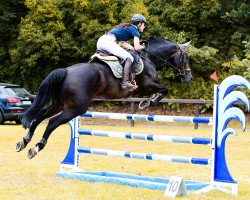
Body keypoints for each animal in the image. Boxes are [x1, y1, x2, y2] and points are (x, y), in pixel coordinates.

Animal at [15, 38, 192, 159]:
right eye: (186, 58)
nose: (189, 78)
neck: (148, 57)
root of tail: (66, 71)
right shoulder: (147, 84)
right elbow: (163, 90)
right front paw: (148, 102)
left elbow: (161, 90)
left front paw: (147, 101)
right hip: (76, 108)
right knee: (52, 122)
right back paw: (36, 148)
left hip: (60, 104)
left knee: (39, 117)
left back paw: (24, 141)